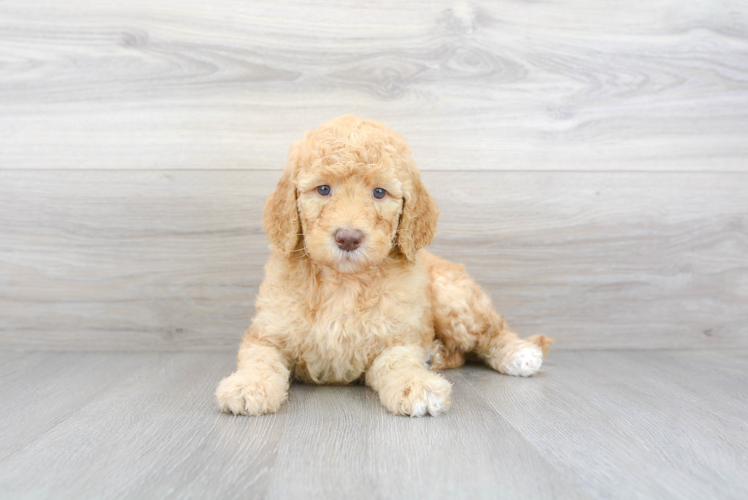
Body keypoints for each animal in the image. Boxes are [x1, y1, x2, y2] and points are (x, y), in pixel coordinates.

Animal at [213, 115, 552, 416]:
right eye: (323, 189)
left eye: (379, 192)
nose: (348, 238)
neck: (343, 282)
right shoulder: (266, 334)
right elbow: (260, 359)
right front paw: (248, 386)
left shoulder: (397, 338)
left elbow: (400, 363)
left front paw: (418, 386)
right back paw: (436, 354)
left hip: (454, 298)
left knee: (491, 331)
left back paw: (518, 353)